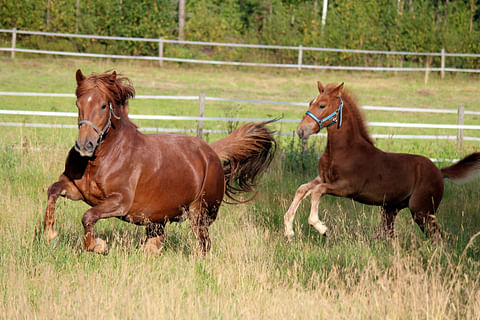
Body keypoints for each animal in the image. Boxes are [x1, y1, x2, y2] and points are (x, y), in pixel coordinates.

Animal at [43, 70, 276, 255]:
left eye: (103, 106)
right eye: (78, 104)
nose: (85, 145)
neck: (101, 158)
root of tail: (211, 152)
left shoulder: (120, 201)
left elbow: (88, 216)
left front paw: (99, 246)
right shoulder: (75, 189)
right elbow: (53, 191)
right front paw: (50, 235)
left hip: (200, 215)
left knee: (204, 245)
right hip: (157, 221)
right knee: (155, 246)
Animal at [284, 82, 480, 240]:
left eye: (322, 105)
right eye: (311, 102)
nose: (301, 130)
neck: (344, 149)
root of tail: (440, 172)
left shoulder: (347, 187)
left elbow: (317, 191)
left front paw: (321, 227)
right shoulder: (324, 178)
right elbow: (303, 189)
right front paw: (289, 230)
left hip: (422, 211)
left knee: (437, 237)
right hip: (391, 209)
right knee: (388, 235)